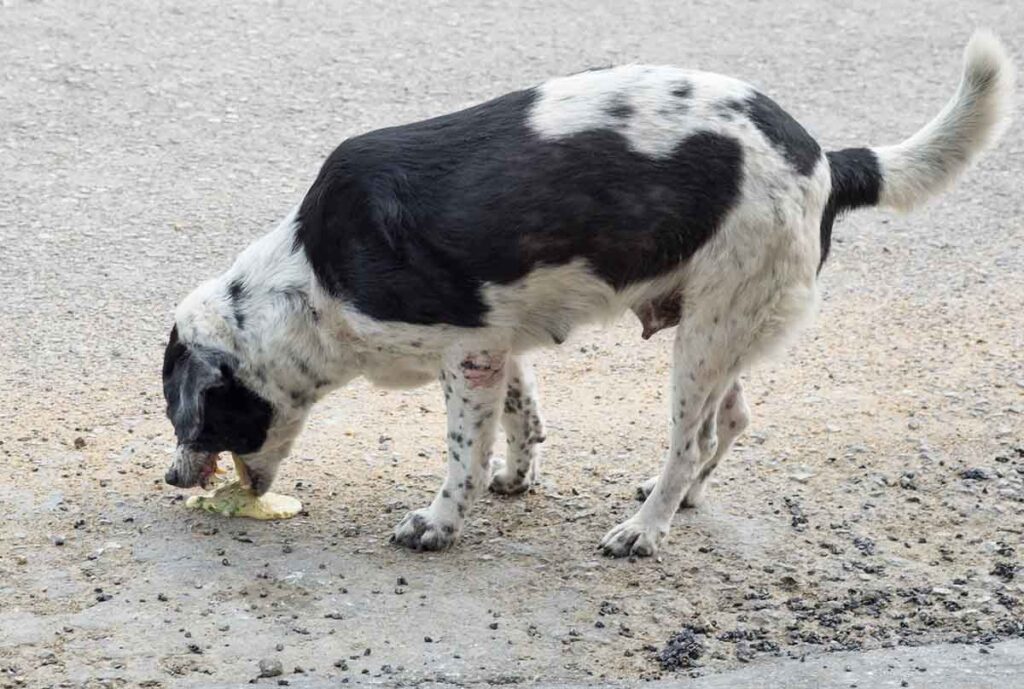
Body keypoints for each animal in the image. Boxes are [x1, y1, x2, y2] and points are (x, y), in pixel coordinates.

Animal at [163, 33, 1011, 556]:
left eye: (190, 416)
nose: (171, 480)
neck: (310, 278)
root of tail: (826, 159)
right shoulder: (497, 345)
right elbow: (523, 418)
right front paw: (515, 478)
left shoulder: (466, 354)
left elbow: (462, 453)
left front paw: (439, 521)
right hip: (724, 325)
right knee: (731, 419)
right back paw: (682, 499)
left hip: (706, 336)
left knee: (690, 439)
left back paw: (645, 527)